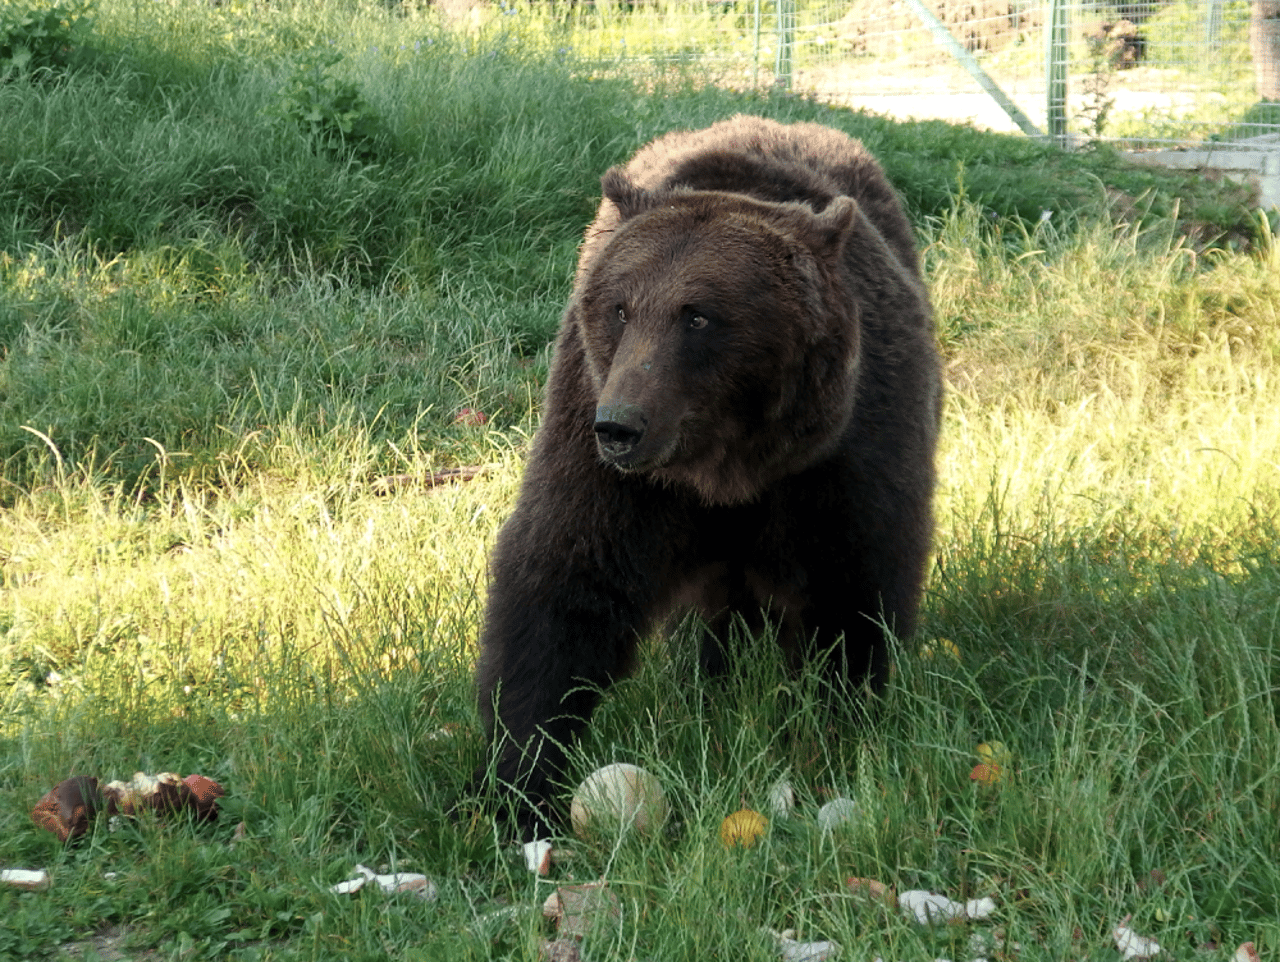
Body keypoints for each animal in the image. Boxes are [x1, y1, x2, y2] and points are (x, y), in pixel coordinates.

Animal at [476, 112, 936, 834]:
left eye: (698, 314)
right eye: (620, 307)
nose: (621, 426)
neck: (728, 466)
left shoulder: (844, 455)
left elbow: (854, 584)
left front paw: (837, 731)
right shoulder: (607, 455)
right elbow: (565, 581)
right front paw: (520, 782)